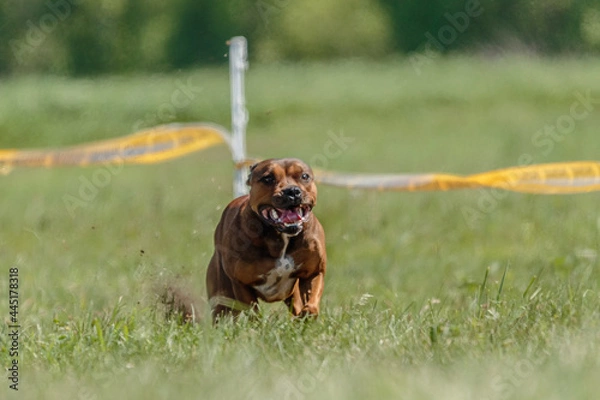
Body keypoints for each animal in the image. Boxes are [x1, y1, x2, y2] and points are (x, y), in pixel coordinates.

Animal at [207, 158, 328, 320]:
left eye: (304, 176)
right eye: (268, 178)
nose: (292, 191)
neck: (280, 237)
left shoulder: (314, 272)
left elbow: (311, 300)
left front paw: (308, 314)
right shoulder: (241, 283)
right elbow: (253, 314)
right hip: (221, 297)